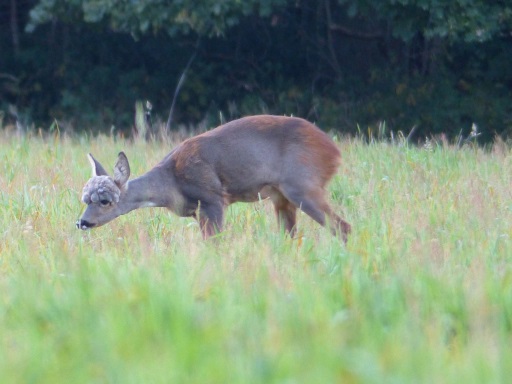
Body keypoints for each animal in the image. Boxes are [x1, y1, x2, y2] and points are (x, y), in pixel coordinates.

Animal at [77, 114, 352, 240]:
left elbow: (216, 243)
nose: (82, 222)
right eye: (84, 199)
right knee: (291, 236)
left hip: (302, 184)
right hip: (281, 196)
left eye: (106, 201)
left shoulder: (212, 198)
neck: (171, 183)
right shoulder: (199, 210)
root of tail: (335, 153)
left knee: (343, 227)